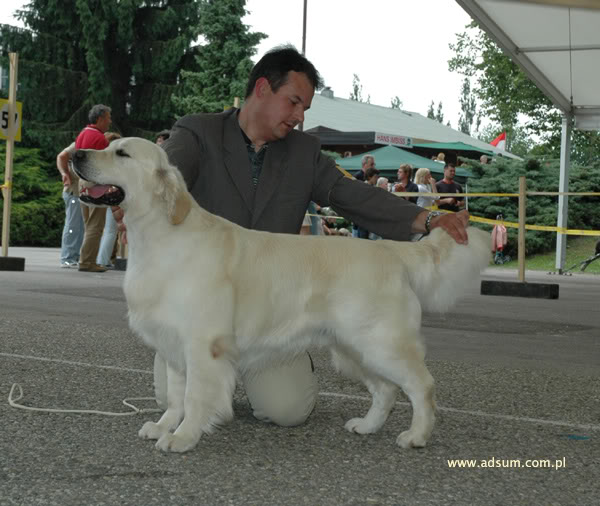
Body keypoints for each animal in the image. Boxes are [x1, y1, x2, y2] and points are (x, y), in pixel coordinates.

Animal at [72, 136, 490, 452]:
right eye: (107, 145)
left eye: (122, 153)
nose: (75, 154)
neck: (160, 235)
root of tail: (391, 250)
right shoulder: (173, 343)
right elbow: (175, 396)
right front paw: (164, 426)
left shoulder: (203, 344)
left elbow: (193, 397)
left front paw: (184, 437)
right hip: (352, 347)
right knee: (386, 390)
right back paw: (367, 425)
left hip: (380, 342)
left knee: (421, 385)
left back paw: (417, 435)